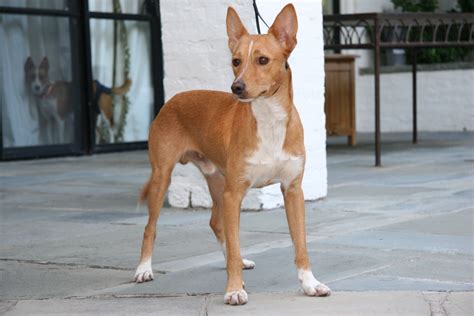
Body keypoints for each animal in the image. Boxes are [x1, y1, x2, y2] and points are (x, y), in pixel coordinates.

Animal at [135, 4, 332, 306]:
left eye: (263, 60)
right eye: (236, 61)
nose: (236, 87)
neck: (269, 120)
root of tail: (173, 98)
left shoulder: (292, 190)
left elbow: (300, 244)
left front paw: (310, 283)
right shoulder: (234, 193)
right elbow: (236, 241)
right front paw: (234, 289)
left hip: (218, 180)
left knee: (217, 223)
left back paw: (237, 261)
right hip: (163, 176)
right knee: (150, 227)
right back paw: (144, 269)